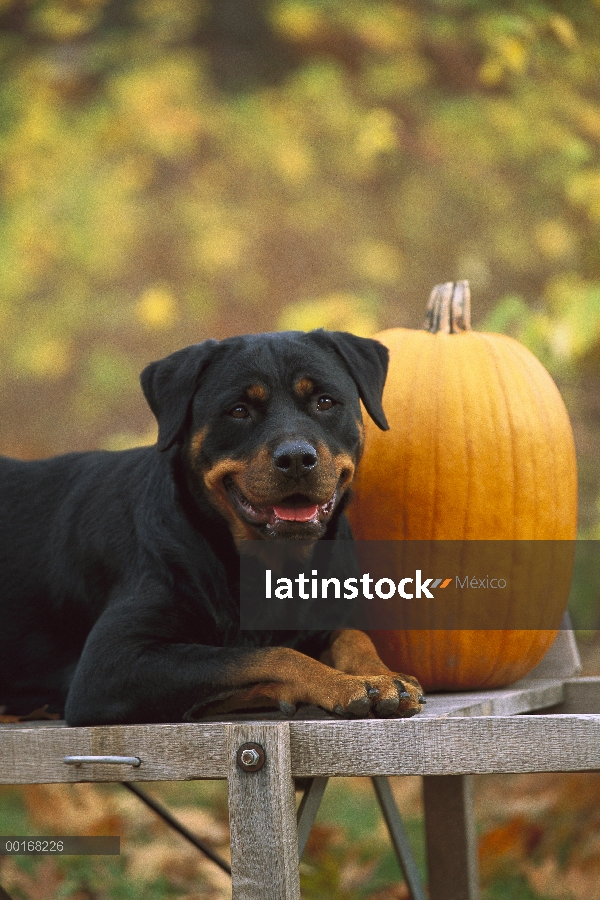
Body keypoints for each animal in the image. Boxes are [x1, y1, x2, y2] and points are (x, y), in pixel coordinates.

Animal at [0, 330, 424, 724]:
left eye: (325, 402)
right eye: (238, 410)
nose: (297, 458)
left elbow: (353, 637)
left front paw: (384, 676)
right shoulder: (110, 664)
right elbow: (267, 655)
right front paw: (339, 684)